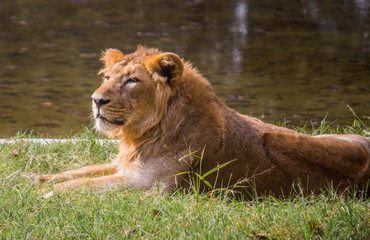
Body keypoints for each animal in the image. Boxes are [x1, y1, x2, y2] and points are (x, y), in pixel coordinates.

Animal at [24, 46, 368, 198]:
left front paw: (47, 196)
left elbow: (84, 184)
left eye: (133, 80)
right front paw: (32, 179)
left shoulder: (147, 185)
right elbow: (79, 171)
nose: (96, 100)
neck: (143, 135)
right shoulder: (124, 166)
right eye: (107, 78)